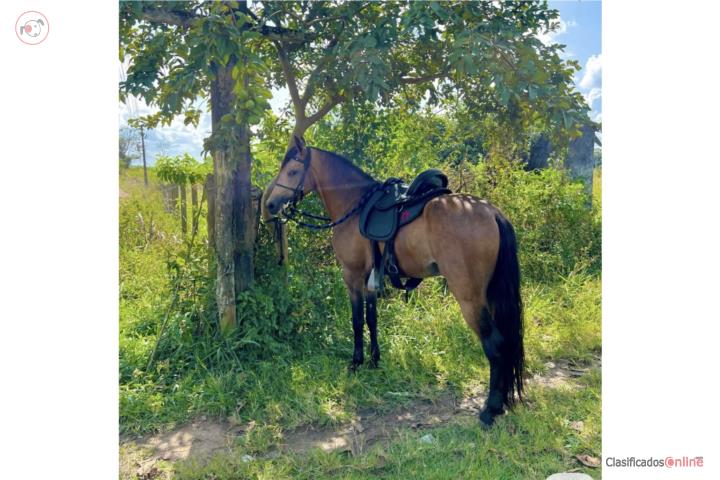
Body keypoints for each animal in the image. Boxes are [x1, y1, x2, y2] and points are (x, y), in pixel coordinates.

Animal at [264, 136, 524, 427]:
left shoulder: (352, 275)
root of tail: (492, 212)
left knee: (495, 344)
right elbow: (372, 319)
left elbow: (357, 320)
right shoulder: (370, 279)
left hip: (470, 298)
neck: (354, 205)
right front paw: (374, 360)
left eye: (292, 171)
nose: (271, 205)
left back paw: (491, 409)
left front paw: (356, 362)